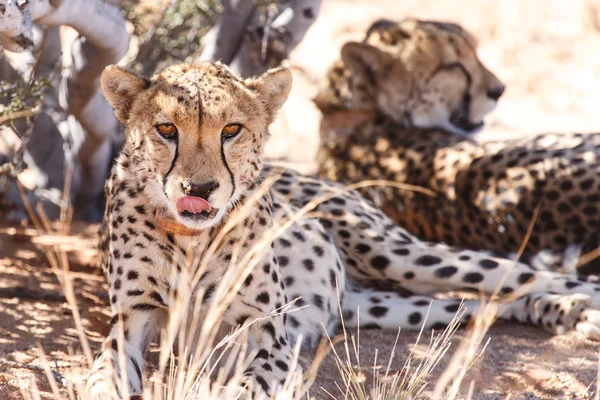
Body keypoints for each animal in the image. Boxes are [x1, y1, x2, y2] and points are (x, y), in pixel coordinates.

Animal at [86, 61, 600, 398]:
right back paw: (562, 312)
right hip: (370, 304)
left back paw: (580, 308)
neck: (192, 239)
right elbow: (103, 376)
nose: (201, 188)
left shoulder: (268, 333)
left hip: (396, 256)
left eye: (231, 130)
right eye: (166, 130)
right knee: (479, 304)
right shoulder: (131, 320)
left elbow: (248, 386)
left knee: (523, 276)